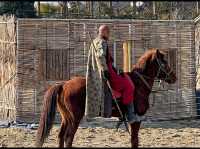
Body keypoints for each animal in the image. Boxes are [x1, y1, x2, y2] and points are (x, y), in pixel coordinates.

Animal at [36, 49, 177, 148]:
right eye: (164, 62)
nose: (174, 77)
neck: (138, 84)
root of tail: (64, 84)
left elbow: (134, 140)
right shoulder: (136, 119)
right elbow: (135, 141)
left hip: (66, 118)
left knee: (61, 137)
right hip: (75, 118)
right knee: (68, 138)